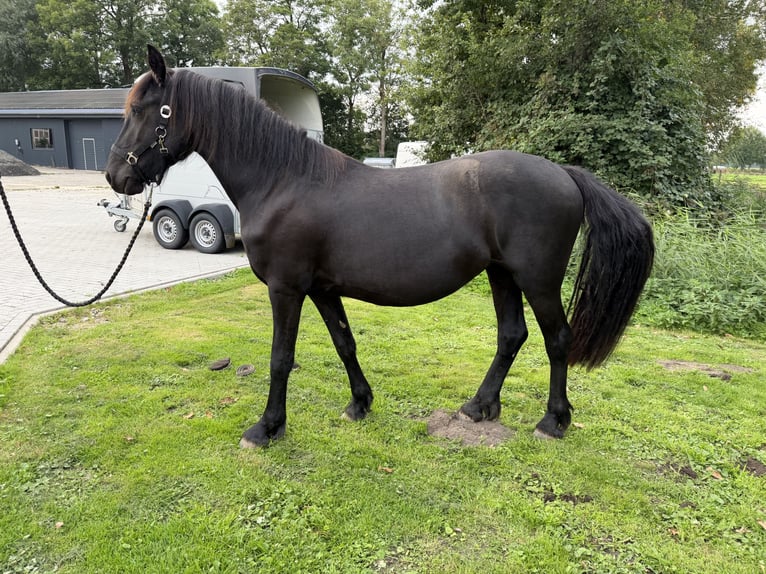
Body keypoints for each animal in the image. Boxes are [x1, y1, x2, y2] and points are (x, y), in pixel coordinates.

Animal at [105, 46, 654, 447]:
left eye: (145, 110)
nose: (116, 176)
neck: (283, 180)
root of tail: (565, 174)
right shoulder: (322, 289)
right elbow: (344, 343)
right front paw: (360, 403)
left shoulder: (286, 289)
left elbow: (282, 357)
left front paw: (267, 428)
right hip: (501, 274)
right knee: (511, 336)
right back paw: (479, 407)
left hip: (537, 280)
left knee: (556, 339)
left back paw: (553, 421)